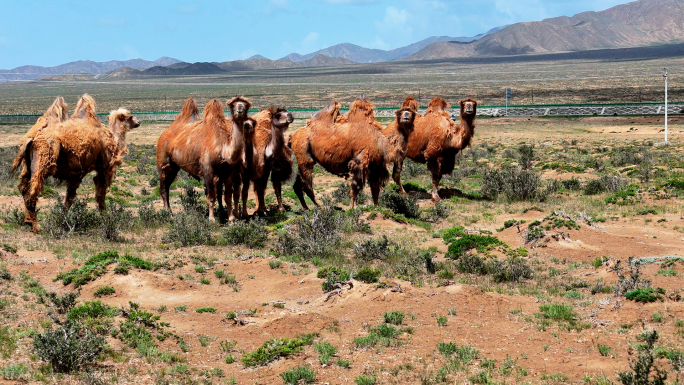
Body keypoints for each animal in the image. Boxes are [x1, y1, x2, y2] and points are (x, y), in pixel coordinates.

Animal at [11, 94, 139, 231]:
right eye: (130, 116)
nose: (138, 122)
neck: (113, 140)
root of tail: (31, 137)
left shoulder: (75, 174)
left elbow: (69, 198)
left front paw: (63, 218)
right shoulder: (102, 167)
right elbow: (100, 193)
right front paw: (105, 217)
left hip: (27, 165)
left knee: (24, 189)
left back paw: (27, 221)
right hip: (43, 159)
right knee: (32, 193)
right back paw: (36, 226)